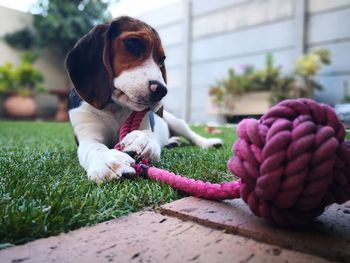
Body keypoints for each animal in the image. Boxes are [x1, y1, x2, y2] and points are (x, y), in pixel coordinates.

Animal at [67, 16, 223, 184]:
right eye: (133, 44)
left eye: (161, 60)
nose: (162, 90)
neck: (114, 107)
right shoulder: (87, 134)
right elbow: (93, 147)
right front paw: (108, 160)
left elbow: (148, 134)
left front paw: (142, 140)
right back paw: (172, 141)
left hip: (176, 122)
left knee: (192, 136)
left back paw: (207, 143)